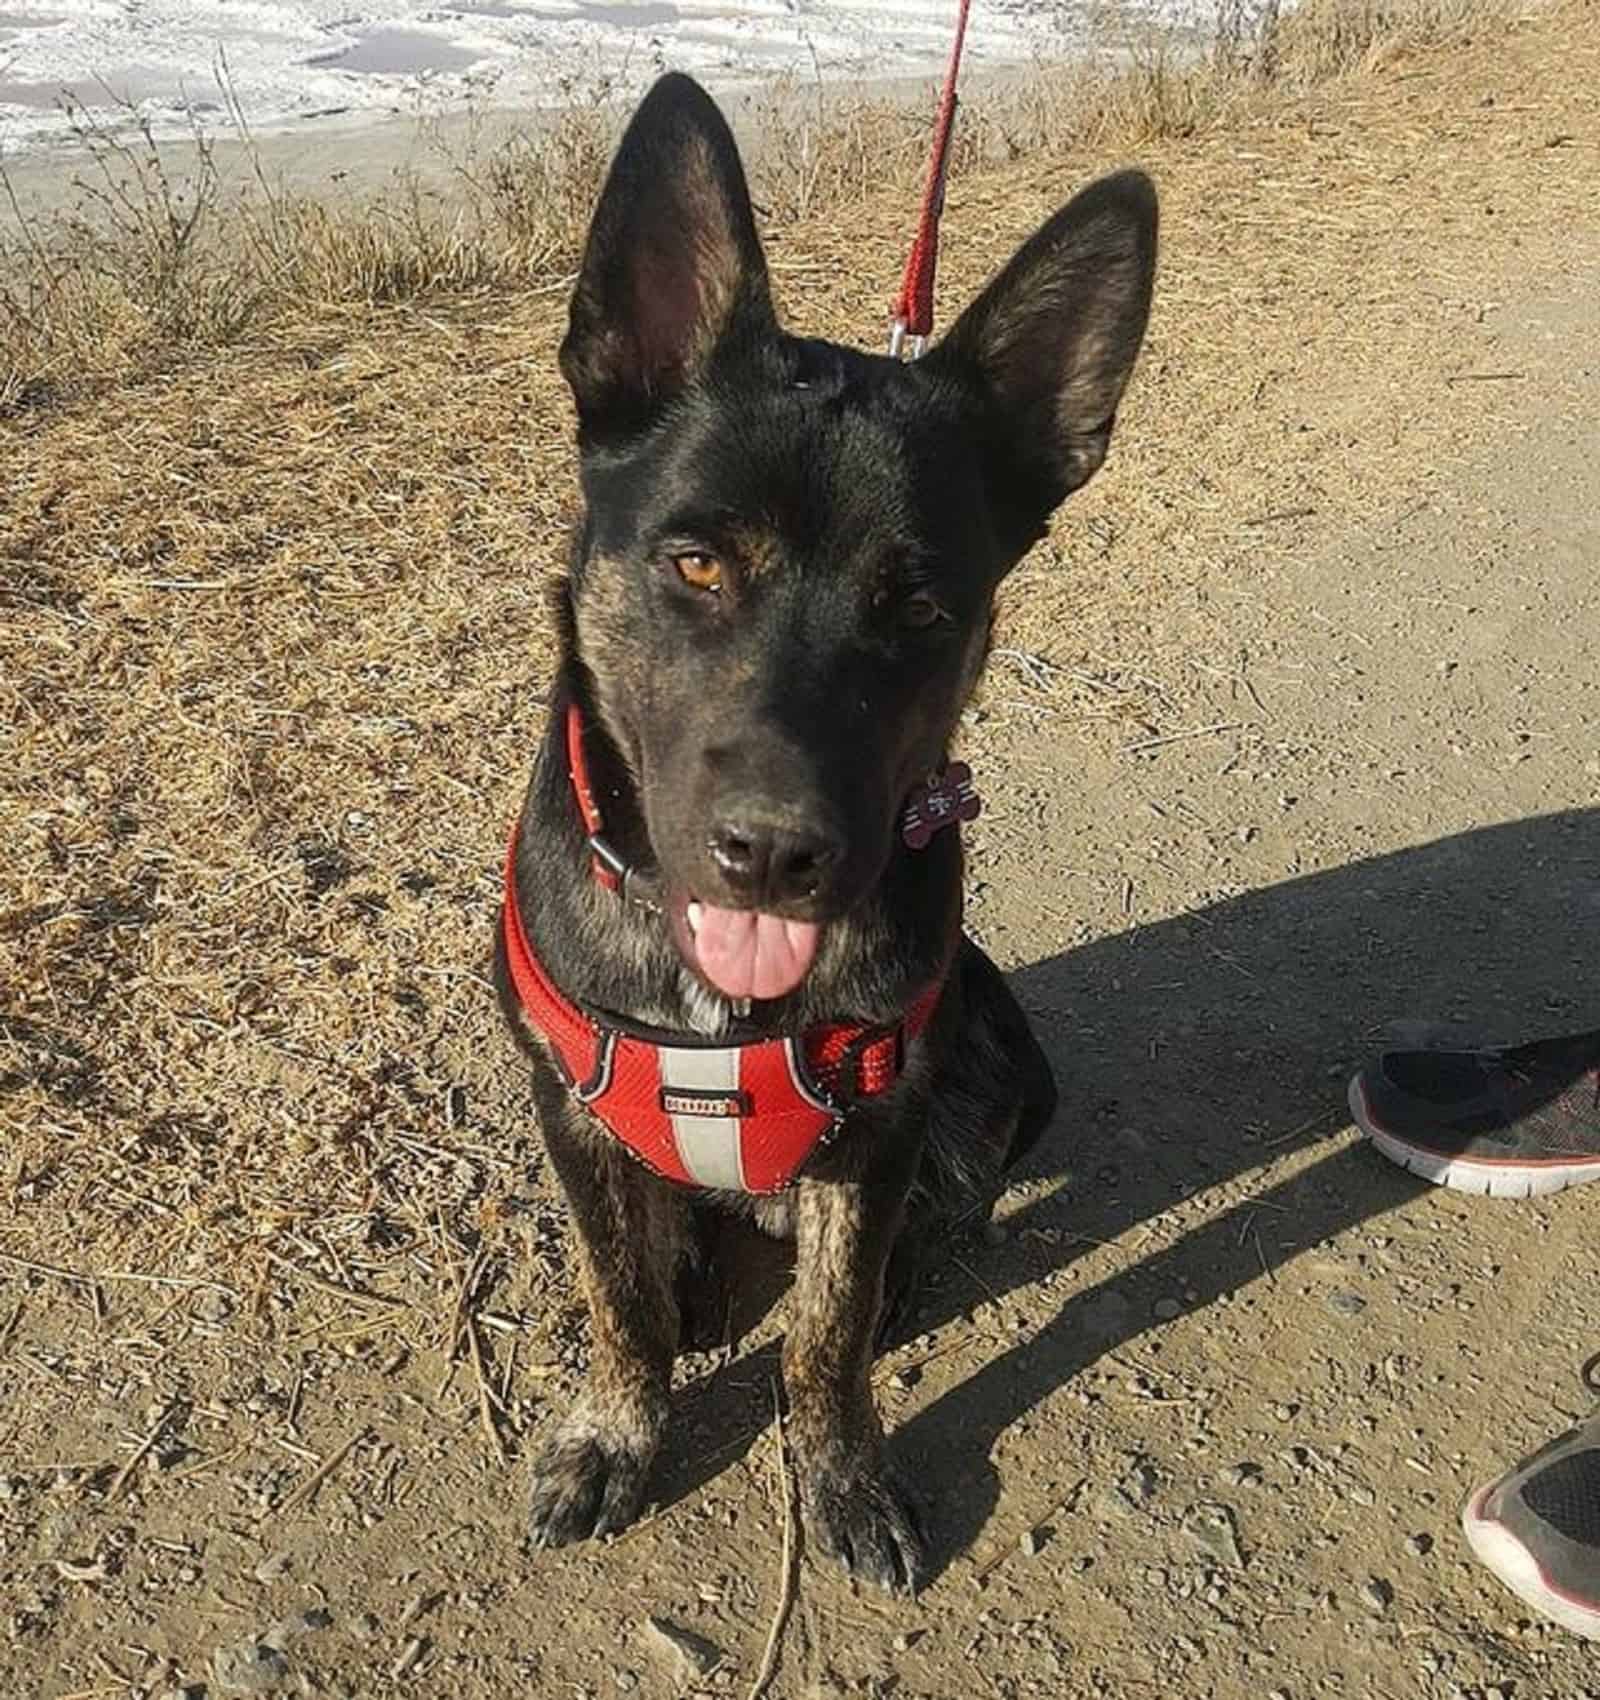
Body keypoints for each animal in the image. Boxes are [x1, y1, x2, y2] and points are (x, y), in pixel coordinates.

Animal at [493, 73, 1156, 1591]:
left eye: (919, 606)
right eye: (694, 563)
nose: (776, 854)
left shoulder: (878, 1125)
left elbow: (827, 1337)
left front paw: (842, 1473)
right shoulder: (572, 1117)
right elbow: (620, 1305)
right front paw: (617, 1433)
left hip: (990, 1053)